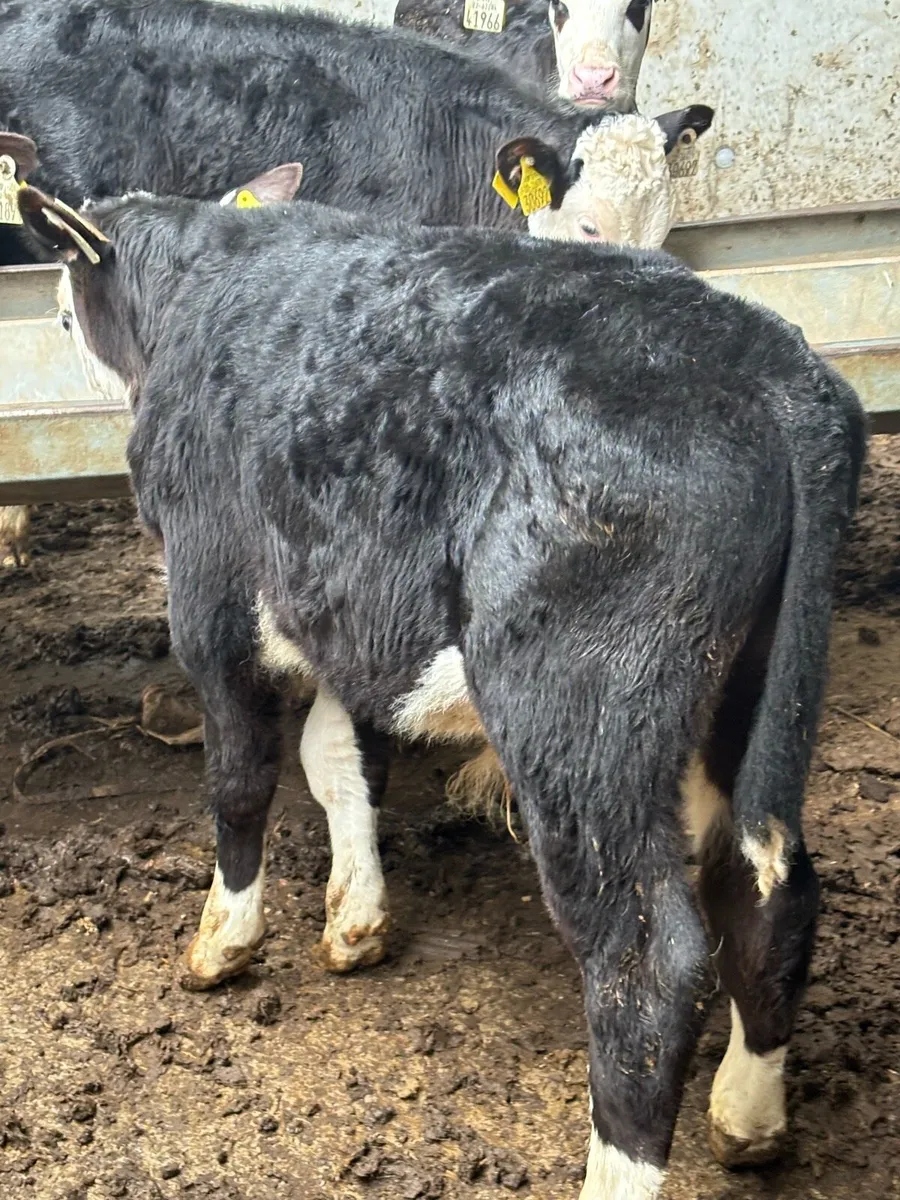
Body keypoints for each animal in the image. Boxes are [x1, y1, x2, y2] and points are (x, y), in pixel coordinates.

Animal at [18, 182, 865, 1197]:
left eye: (66, 296)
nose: (58, 324)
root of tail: (773, 368)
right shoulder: (348, 612)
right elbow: (336, 759)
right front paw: (355, 919)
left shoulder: (212, 595)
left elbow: (242, 779)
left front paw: (224, 940)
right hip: (754, 691)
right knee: (770, 887)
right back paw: (747, 1113)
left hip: (577, 713)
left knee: (649, 965)